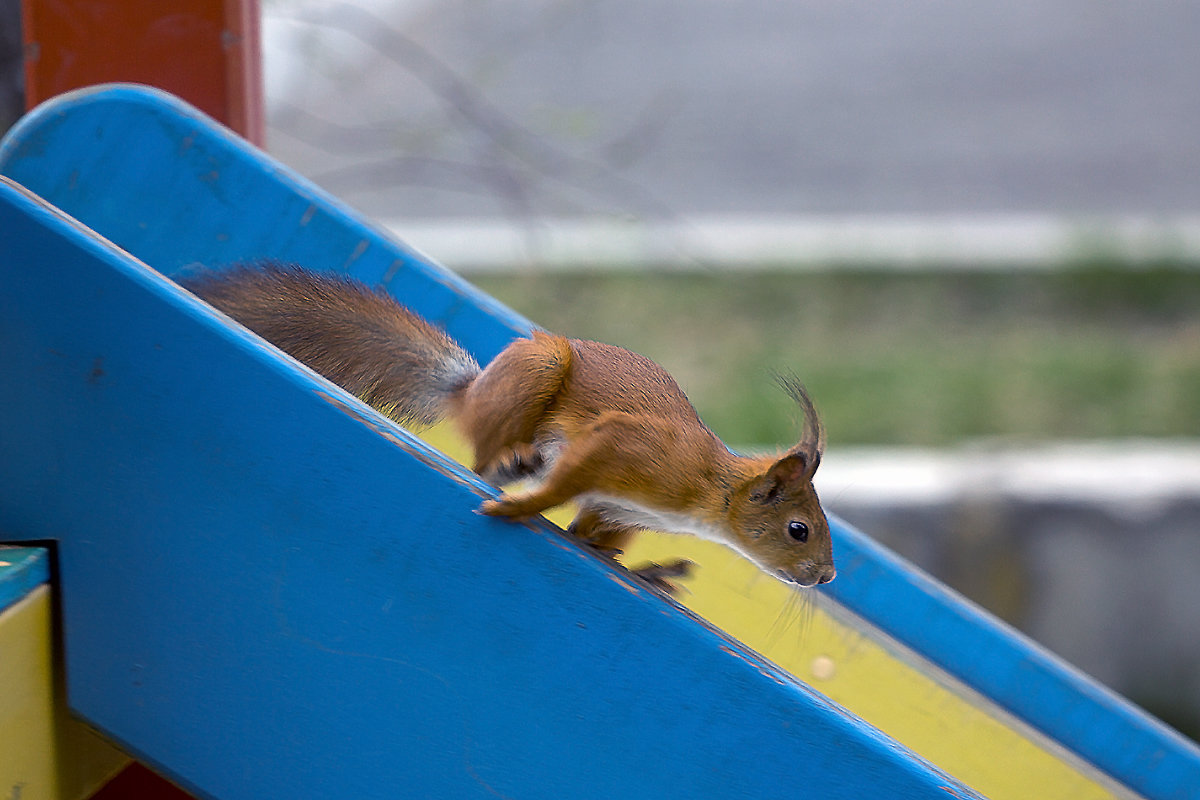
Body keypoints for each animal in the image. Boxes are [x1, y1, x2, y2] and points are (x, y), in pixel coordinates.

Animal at [182, 262, 835, 587]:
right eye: (799, 529)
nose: (826, 577)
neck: (708, 494)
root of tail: (472, 390)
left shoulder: (617, 507)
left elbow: (589, 534)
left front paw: (648, 569)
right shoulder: (624, 449)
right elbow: (561, 488)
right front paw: (519, 510)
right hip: (538, 370)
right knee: (483, 453)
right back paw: (509, 461)